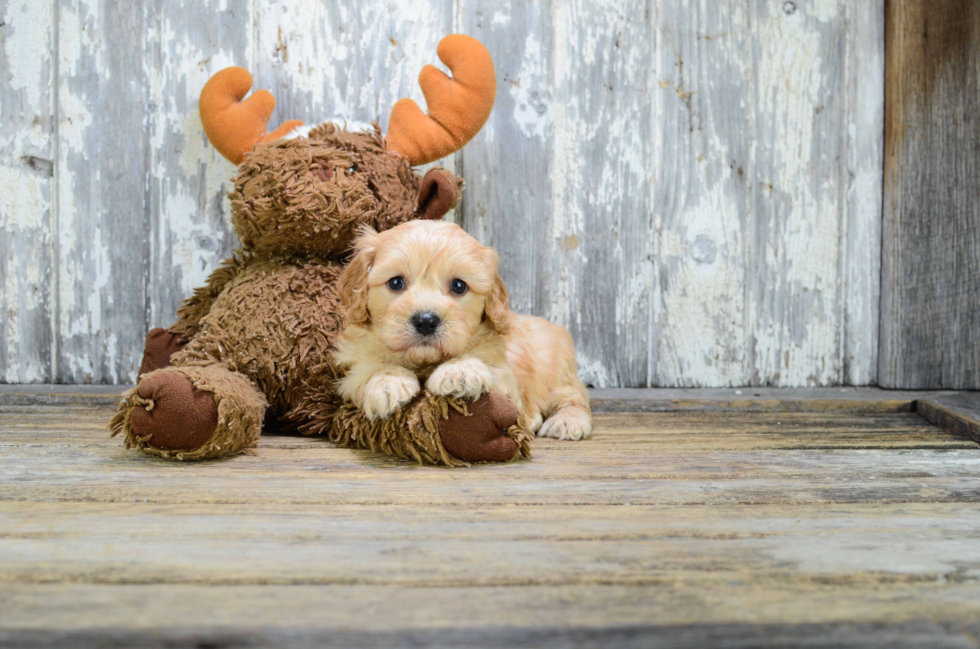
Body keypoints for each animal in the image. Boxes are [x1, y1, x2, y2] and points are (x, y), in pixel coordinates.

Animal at [334, 219, 592, 440]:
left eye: (459, 286)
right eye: (396, 282)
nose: (426, 321)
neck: (424, 363)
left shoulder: (507, 378)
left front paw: (459, 372)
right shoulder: (352, 371)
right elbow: (369, 370)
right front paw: (388, 383)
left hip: (556, 369)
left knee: (574, 397)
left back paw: (566, 421)